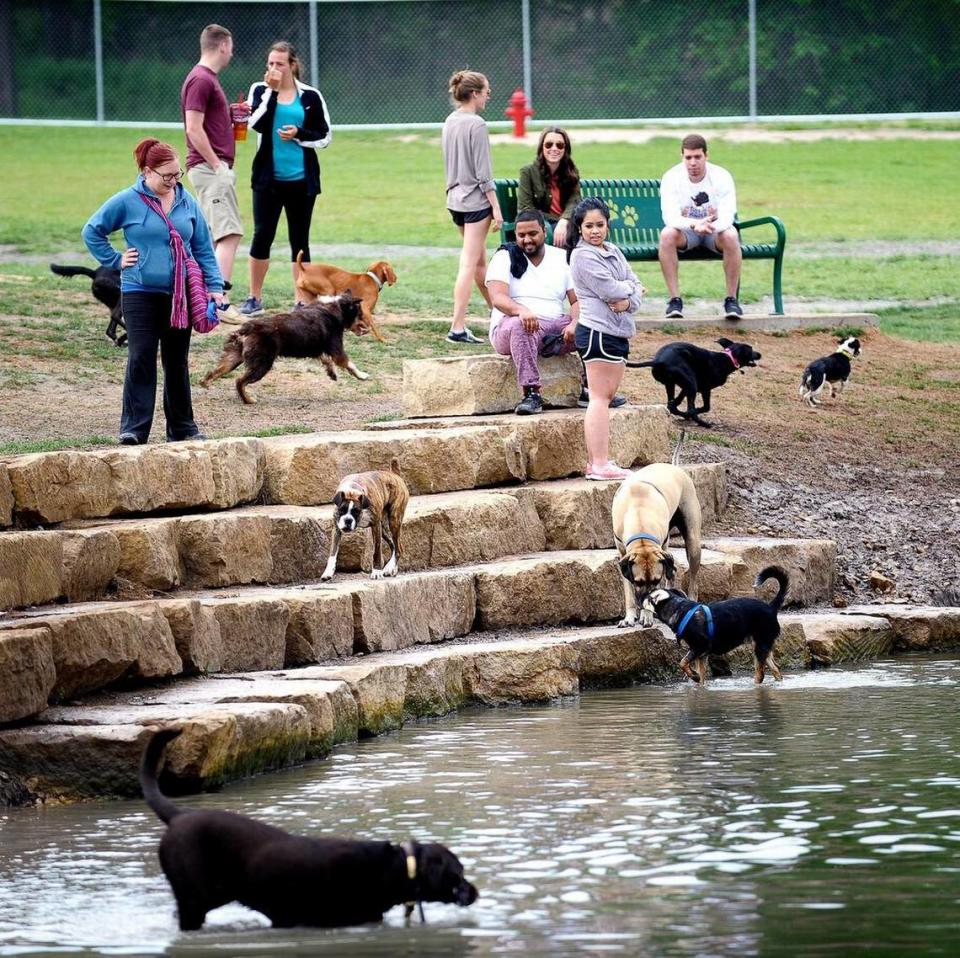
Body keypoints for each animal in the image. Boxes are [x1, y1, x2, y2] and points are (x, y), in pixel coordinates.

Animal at [201, 292, 366, 404]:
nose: (366, 328)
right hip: (262, 364)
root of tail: (249, 327)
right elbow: (349, 364)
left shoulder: (317, 348)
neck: (335, 307)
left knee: (215, 371)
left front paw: (332, 374)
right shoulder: (337, 349)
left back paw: (205, 383)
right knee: (239, 381)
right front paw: (363, 375)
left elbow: (326, 360)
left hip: (234, 358)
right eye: (360, 314)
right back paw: (248, 400)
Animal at [612, 464, 700, 632]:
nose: (645, 601)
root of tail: (674, 466)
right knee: (673, 571)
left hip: (693, 543)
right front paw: (629, 617)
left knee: (693, 578)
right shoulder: (623, 556)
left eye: (656, 580)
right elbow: (629, 594)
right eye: (638, 582)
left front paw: (646, 615)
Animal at [632, 338, 760, 428]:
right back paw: (703, 423)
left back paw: (685, 415)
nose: (760, 354)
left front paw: (683, 413)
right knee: (691, 410)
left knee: (671, 405)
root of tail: (659, 361)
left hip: (673, 384)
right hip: (691, 385)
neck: (728, 358)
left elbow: (676, 402)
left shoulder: (686, 387)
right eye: (751, 349)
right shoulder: (705, 389)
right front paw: (694, 414)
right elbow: (706, 407)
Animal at [636, 568, 788, 688]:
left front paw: (694, 676)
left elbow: (682, 663)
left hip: (760, 646)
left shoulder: (699, 647)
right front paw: (698, 681)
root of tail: (771, 607)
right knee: (776, 669)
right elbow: (701, 678)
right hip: (762, 646)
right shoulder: (701, 655)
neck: (679, 609)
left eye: (646, 595)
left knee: (760, 675)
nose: (638, 596)